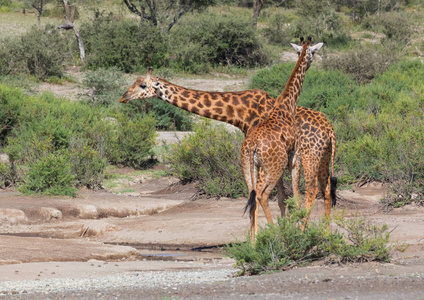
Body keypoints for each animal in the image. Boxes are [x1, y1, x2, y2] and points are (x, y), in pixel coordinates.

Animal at [240, 37, 322, 239]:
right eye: (313, 52)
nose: (311, 62)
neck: (288, 104)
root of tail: (251, 145)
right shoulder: (294, 157)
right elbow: (296, 196)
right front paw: (297, 230)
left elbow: (283, 197)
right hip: (274, 166)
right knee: (262, 195)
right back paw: (275, 233)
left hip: (250, 167)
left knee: (252, 195)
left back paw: (253, 241)